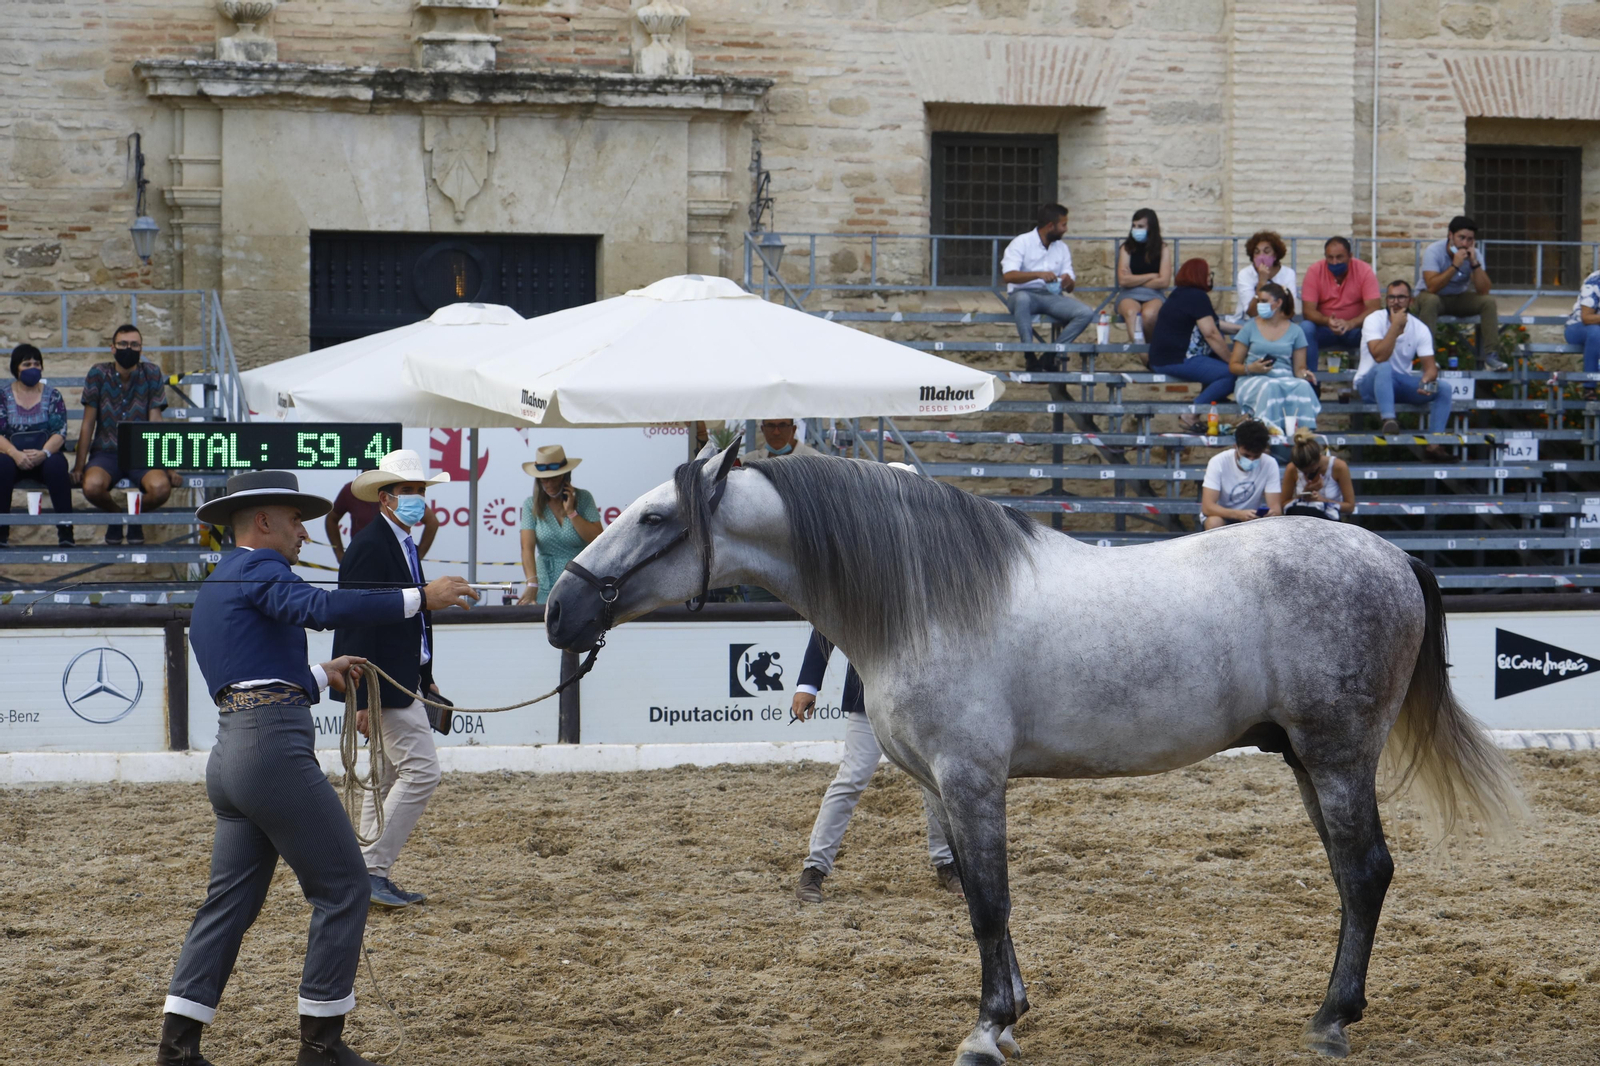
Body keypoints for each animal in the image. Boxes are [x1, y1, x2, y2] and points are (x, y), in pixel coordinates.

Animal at [545, 441, 1526, 1064]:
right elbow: (989, 904)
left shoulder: (971, 779)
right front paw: (1011, 1013)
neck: (923, 600)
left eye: (655, 517)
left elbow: (988, 903)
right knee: (1350, 876)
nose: (561, 610)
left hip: (1336, 754)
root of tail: (1393, 556)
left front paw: (986, 1030)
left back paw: (1329, 1022)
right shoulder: (949, 786)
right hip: (1305, 761)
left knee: (1365, 874)